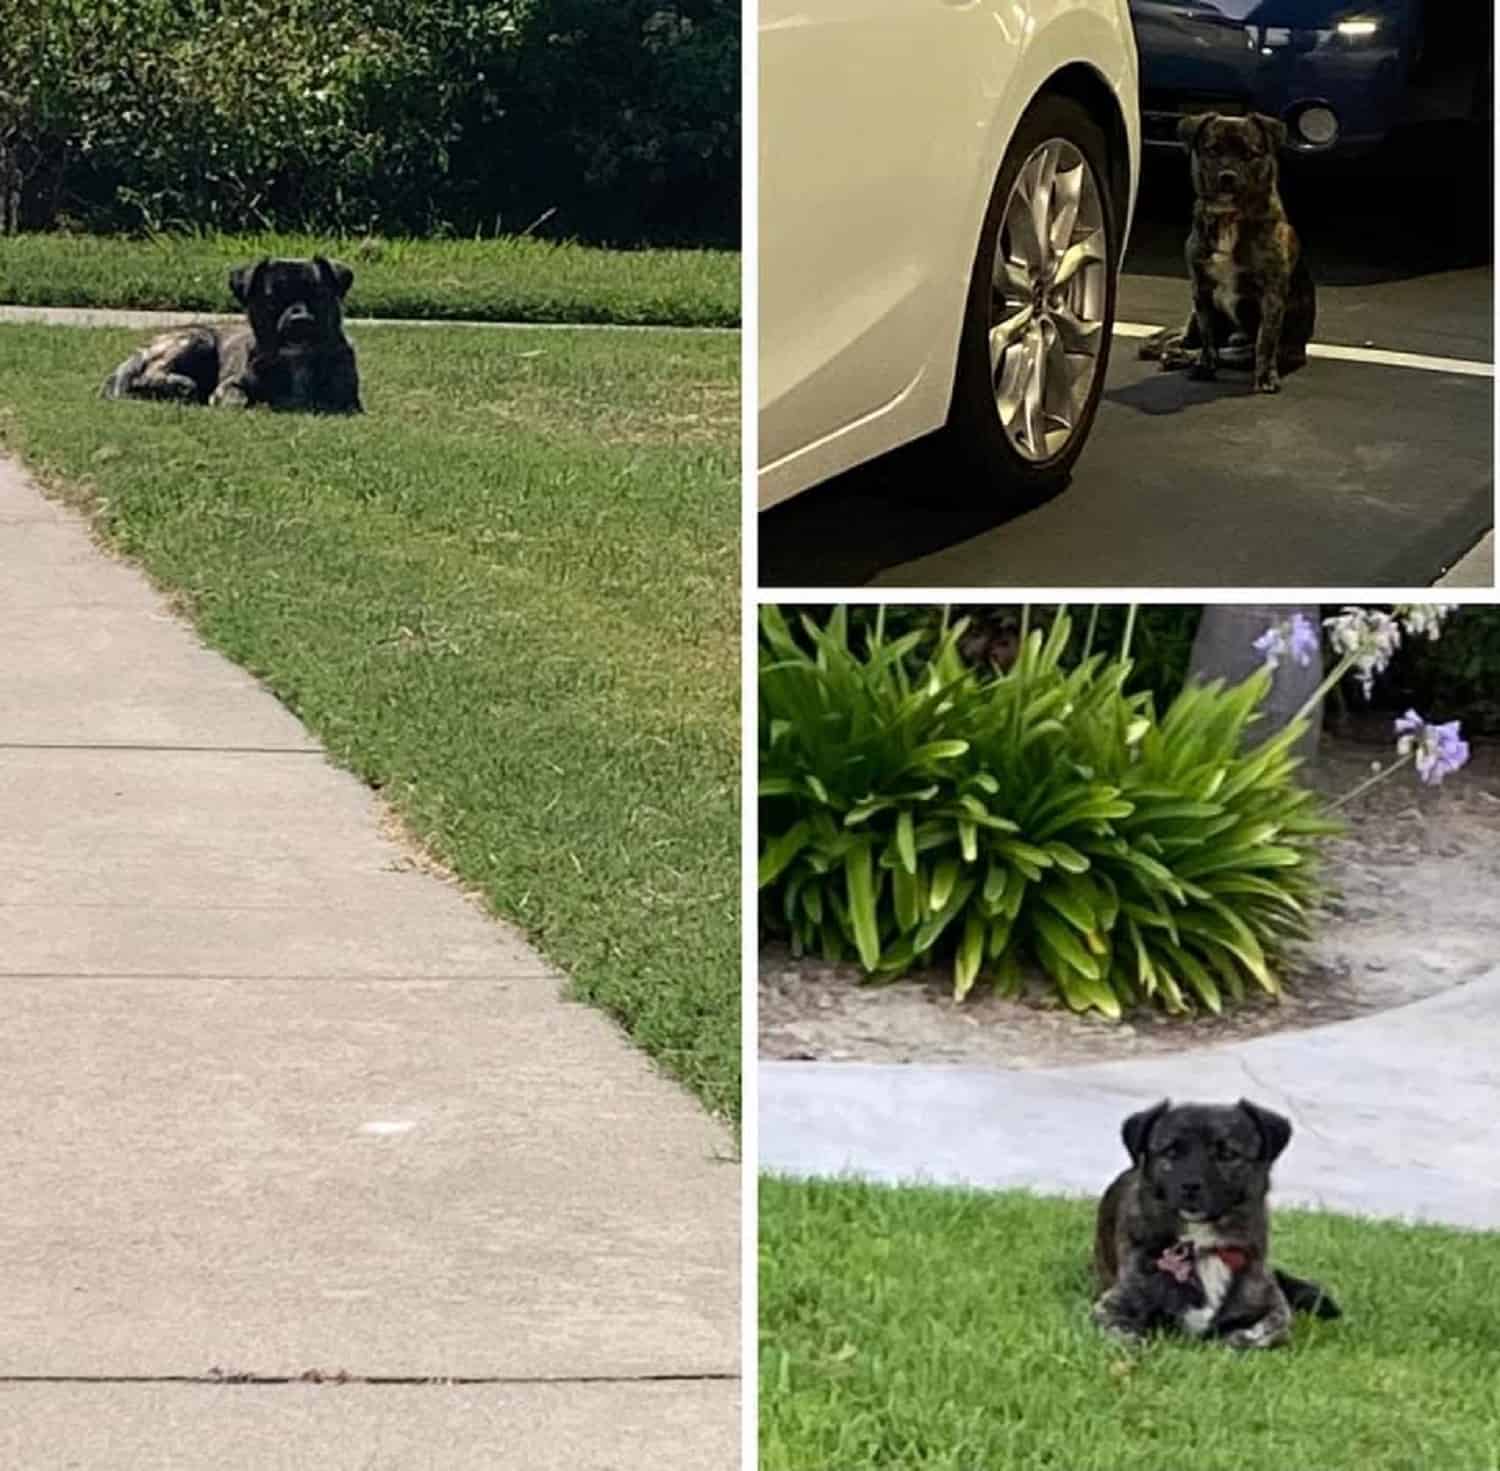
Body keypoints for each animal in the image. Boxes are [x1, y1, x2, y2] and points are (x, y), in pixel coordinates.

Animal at [100, 254, 363, 410]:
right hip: (198, 339)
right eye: (271, 300)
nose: (300, 318)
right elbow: (235, 397)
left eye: (319, 296)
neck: (296, 358)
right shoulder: (231, 384)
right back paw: (179, 383)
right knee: (147, 375)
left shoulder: (346, 398)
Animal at [1092, 1097, 1350, 1349]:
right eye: (1171, 1152)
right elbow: (1127, 1337)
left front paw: (1228, 1342)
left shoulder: (1275, 1309)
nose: (1190, 1186)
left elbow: (1258, 1333)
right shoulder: (1113, 1305)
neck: (1201, 1243)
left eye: (1227, 1154)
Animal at [1140, 112, 1320, 392]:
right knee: (1186, 339)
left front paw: (1266, 377)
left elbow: (1265, 341)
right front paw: (1204, 367)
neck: (1229, 218)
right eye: (1212, 150)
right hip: (1194, 317)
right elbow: (1208, 338)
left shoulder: (1271, 295)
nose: (1227, 175)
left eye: (1249, 154)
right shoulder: (1202, 292)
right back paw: (1171, 349)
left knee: (1236, 353)